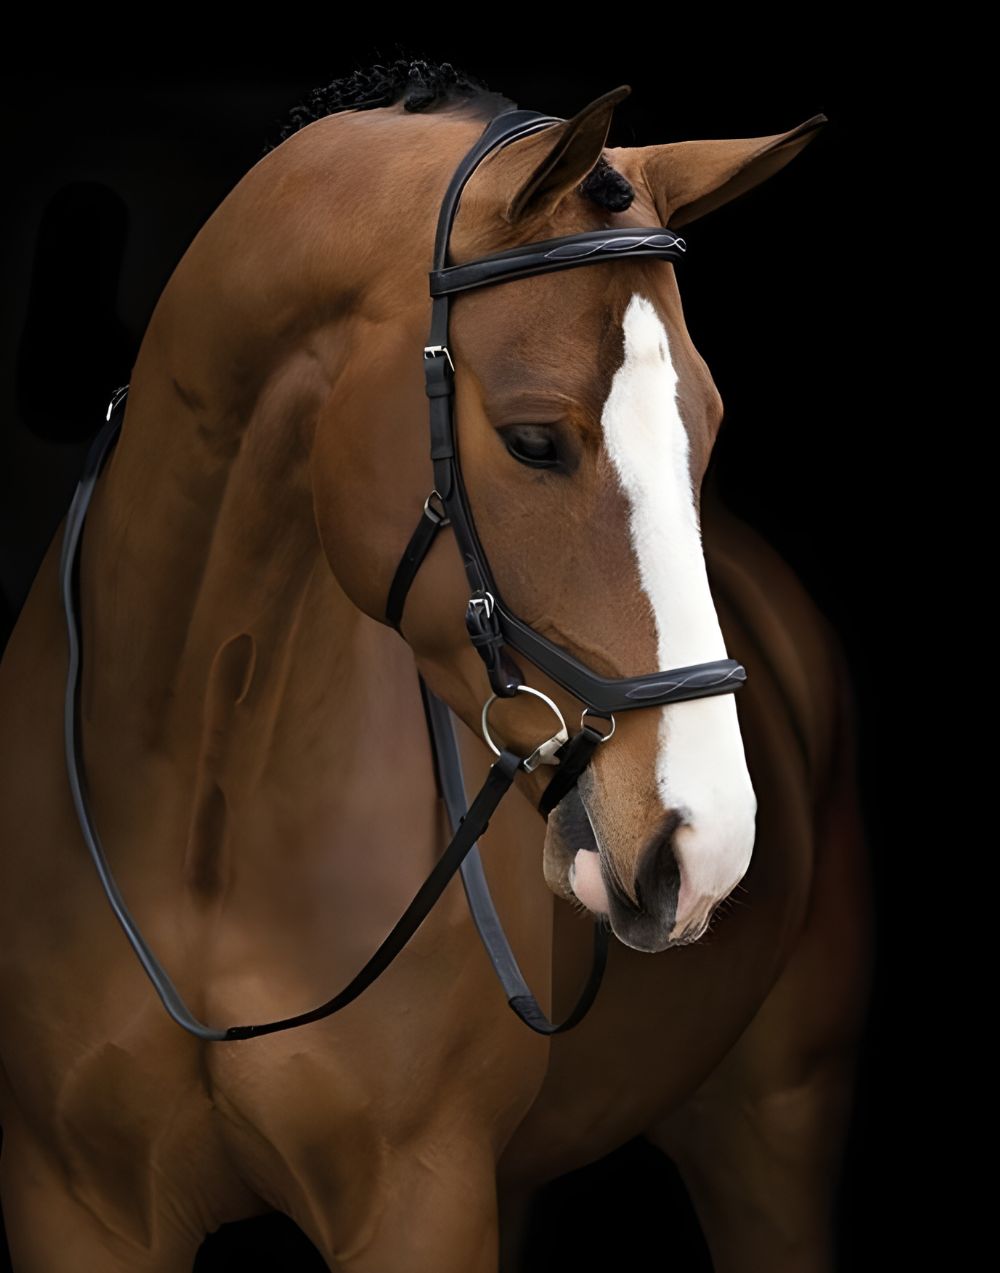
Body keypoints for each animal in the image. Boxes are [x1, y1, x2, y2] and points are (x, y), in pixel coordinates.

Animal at [0, 63, 870, 1272]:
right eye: (534, 441)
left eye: (707, 424)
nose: (706, 846)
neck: (199, 798)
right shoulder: (72, 1202)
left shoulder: (424, 1197)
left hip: (773, 1124)